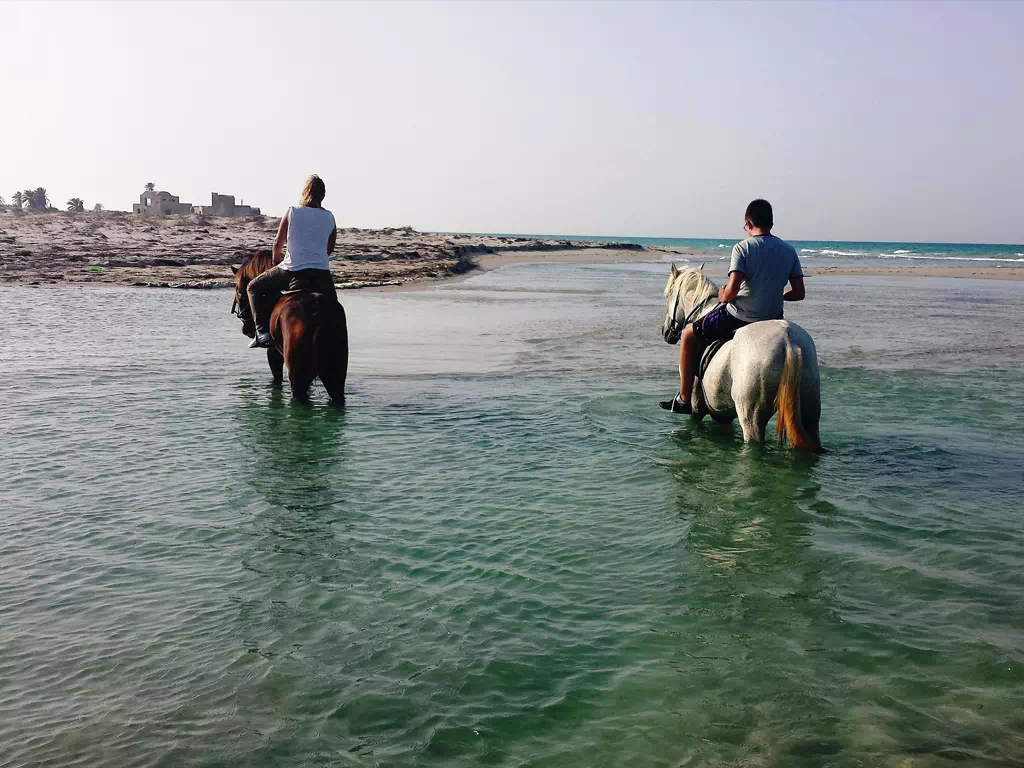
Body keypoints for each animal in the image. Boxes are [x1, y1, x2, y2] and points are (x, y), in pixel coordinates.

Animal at [229, 252, 348, 405]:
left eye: (238, 291)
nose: (247, 329)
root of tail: (318, 311)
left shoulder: (273, 353)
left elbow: (276, 380)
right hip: (335, 374)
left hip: (297, 373)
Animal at [663, 264, 823, 450]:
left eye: (668, 295)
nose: (665, 331)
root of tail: (788, 340)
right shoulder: (722, 415)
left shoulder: (696, 407)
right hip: (810, 411)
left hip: (751, 417)